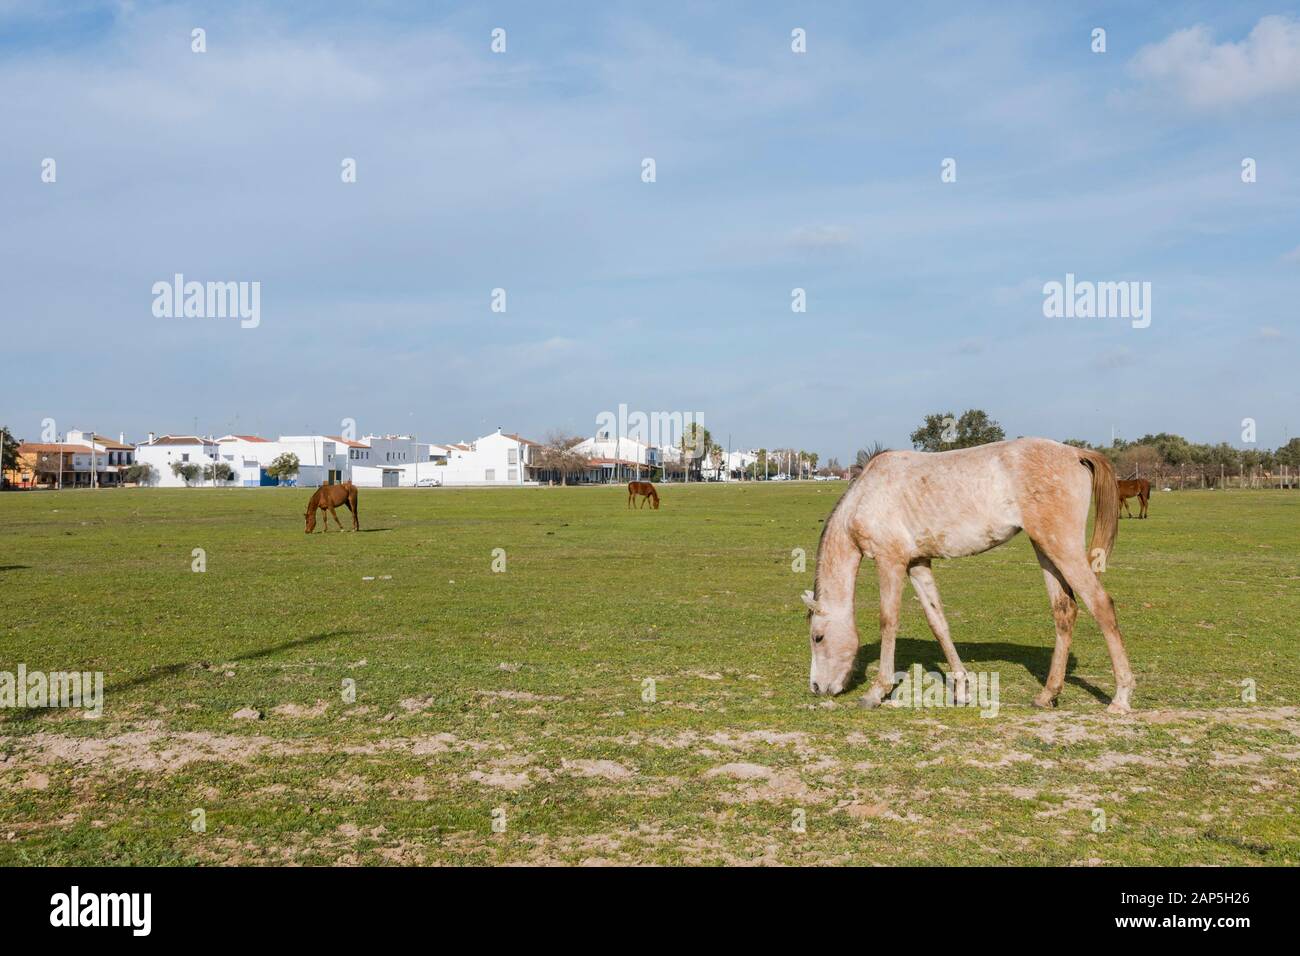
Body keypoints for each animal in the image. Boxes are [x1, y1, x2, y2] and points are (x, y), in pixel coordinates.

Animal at [803, 438, 1136, 714]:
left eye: (818, 637)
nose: (817, 688)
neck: (867, 494)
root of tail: (1074, 453)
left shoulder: (891, 562)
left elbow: (888, 622)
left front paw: (877, 692)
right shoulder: (917, 563)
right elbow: (938, 622)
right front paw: (961, 689)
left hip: (1063, 548)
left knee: (1101, 605)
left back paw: (1121, 697)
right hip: (1046, 550)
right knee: (1065, 611)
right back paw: (1047, 694)